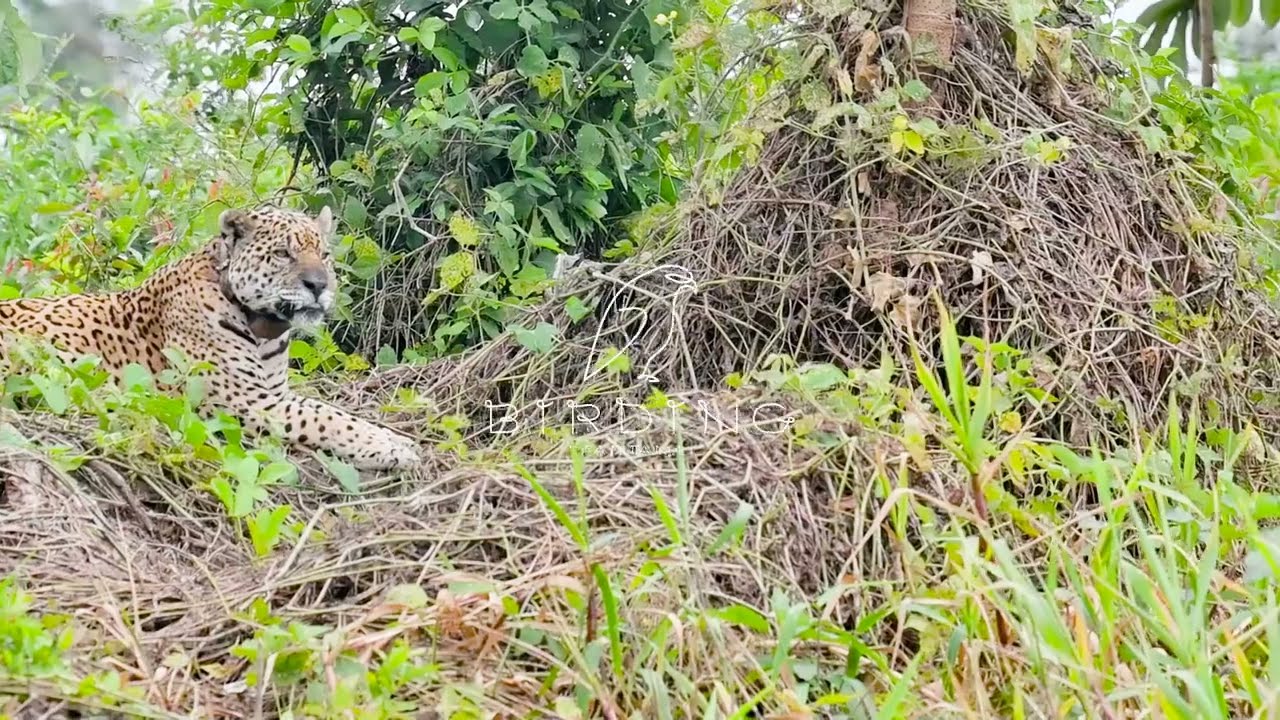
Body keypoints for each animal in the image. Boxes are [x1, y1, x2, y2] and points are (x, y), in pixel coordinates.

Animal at [0, 203, 424, 472]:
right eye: (283, 254)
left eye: (324, 255)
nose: (318, 285)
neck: (265, 330)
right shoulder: (246, 402)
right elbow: (327, 416)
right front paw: (392, 447)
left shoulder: (273, 393)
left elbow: (330, 409)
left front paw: (394, 439)